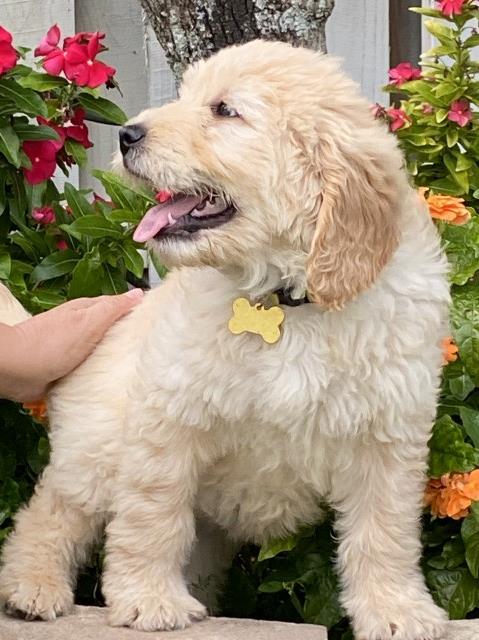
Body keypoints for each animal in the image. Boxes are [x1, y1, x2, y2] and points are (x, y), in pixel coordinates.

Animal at [0, 41, 450, 640]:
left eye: (224, 111)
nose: (127, 135)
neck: (285, 300)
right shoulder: (169, 415)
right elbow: (152, 515)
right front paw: (148, 598)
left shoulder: (388, 436)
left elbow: (386, 532)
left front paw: (396, 609)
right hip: (96, 447)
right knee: (50, 513)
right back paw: (33, 587)